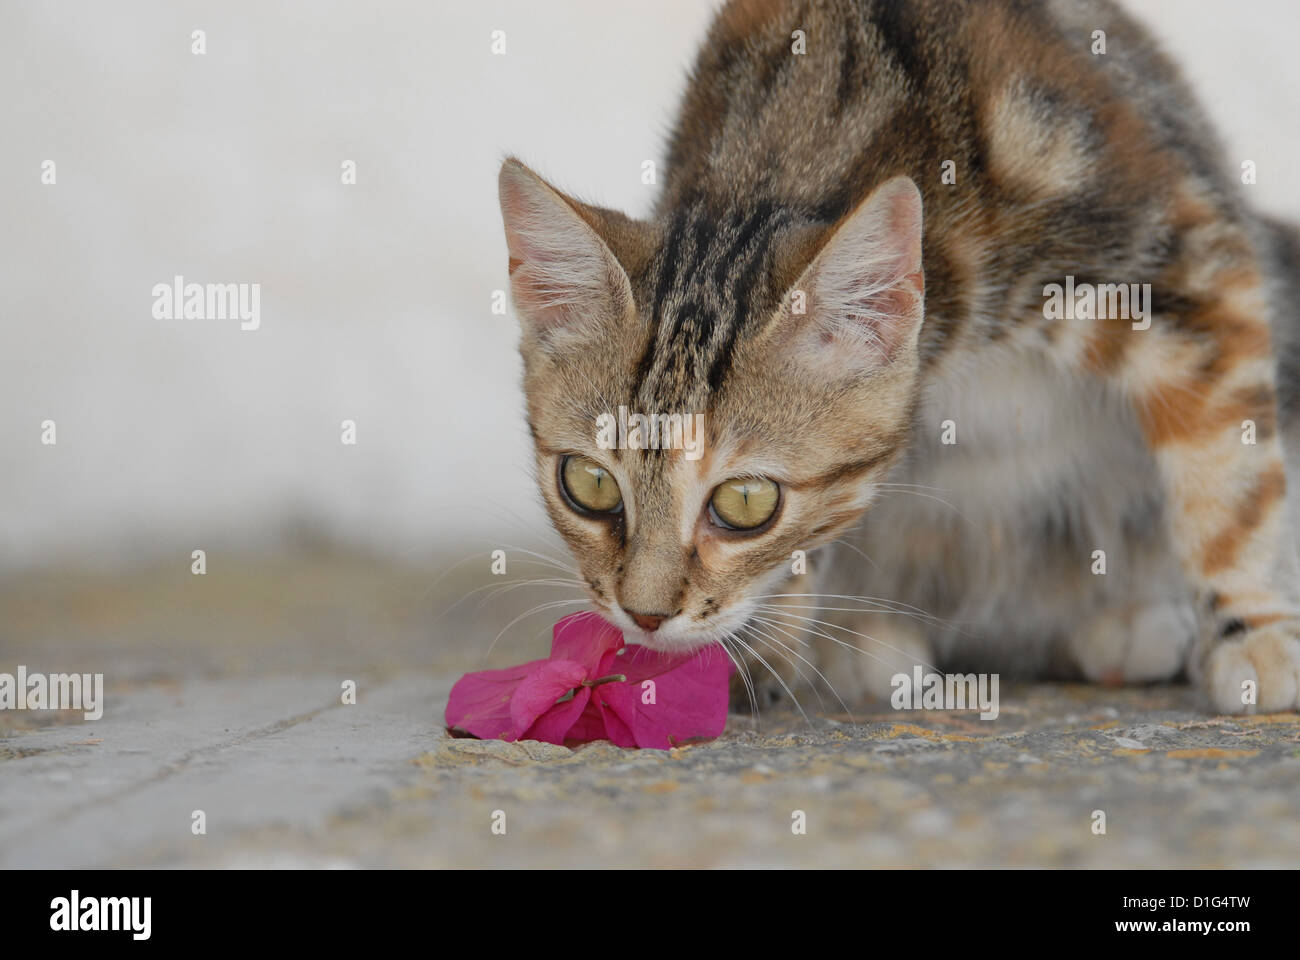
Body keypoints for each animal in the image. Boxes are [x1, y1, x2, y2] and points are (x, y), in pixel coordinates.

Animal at [493, 0, 1300, 712]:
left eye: (747, 503)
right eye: (588, 484)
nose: (645, 617)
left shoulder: (1178, 259)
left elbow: (1229, 474)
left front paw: (1251, 631)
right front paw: (770, 641)